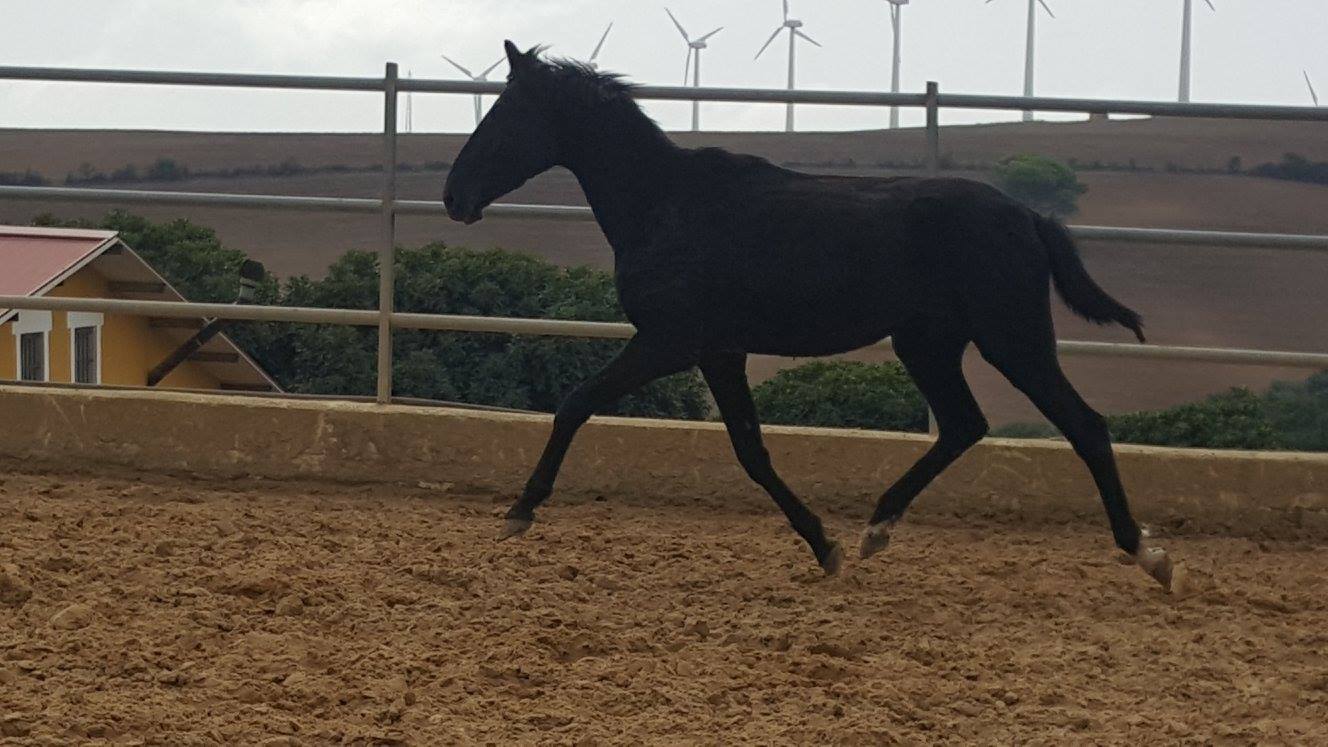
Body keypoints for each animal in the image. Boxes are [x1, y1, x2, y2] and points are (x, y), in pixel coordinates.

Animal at [442, 41, 1176, 590]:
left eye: (504, 116)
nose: (454, 196)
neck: (667, 203)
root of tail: (1028, 215)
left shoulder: (670, 342)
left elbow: (576, 404)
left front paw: (518, 512)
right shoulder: (719, 352)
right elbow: (751, 450)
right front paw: (825, 545)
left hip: (1011, 338)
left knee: (1083, 425)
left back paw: (1150, 555)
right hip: (928, 343)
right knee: (965, 424)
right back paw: (875, 530)